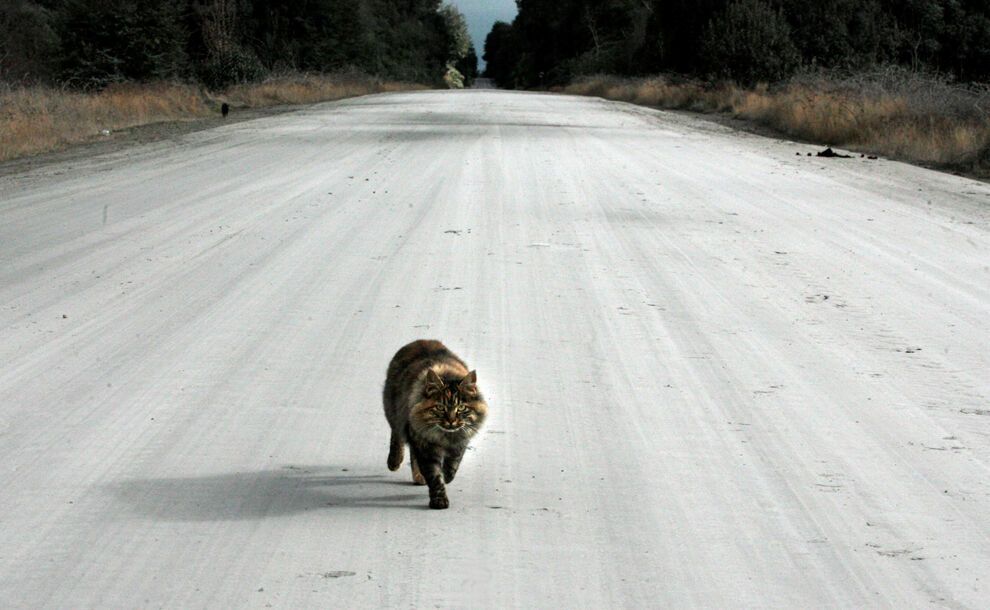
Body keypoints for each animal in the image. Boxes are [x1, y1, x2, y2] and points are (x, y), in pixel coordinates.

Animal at [384, 340, 488, 506]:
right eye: (440, 407)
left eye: (461, 407)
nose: (451, 421)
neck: (444, 436)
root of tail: (420, 340)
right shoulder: (424, 444)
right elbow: (434, 476)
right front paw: (439, 500)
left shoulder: (460, 442)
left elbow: (453, 464)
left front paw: (447, 475)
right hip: (395, 414)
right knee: (397, 436)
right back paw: (395, 462)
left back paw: (419, 477)